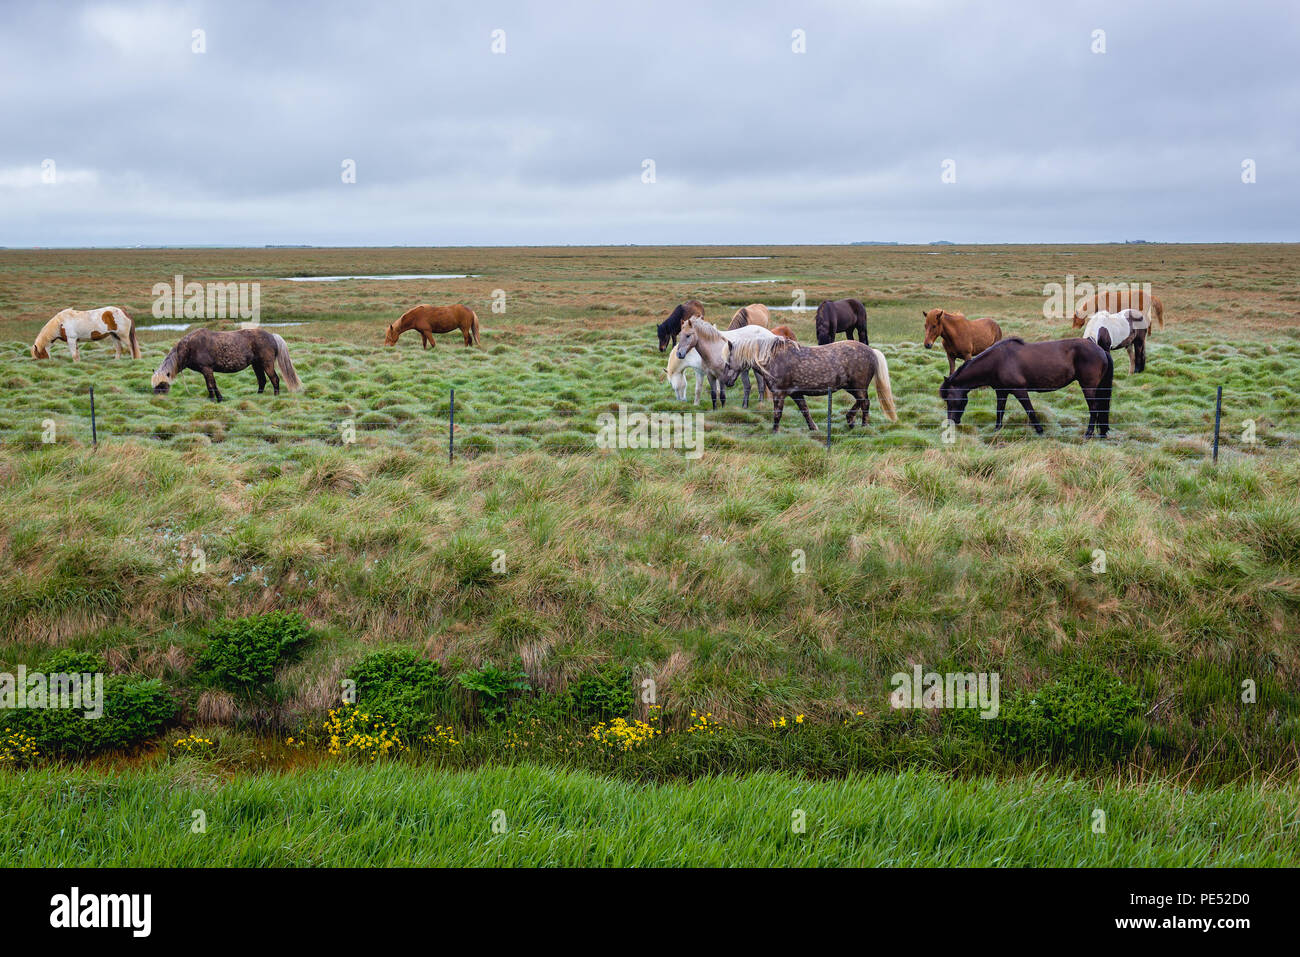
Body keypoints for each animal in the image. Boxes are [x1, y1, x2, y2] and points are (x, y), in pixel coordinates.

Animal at [152, 328, 302, 401]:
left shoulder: (207, 369)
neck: (189, 347)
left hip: (266, 364)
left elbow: (211, 385)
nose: (157, 400)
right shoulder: (205, 371)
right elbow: (211, 385)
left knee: (274, 379)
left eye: (162, 385)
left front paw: (216, 399)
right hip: (256, 365)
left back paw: (276, 397)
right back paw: (257, 396)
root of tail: (272, 336)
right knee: (262, 380)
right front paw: (214, 399)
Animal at [724, 337, 896, 432]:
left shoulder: (779, 394)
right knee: (861, 402)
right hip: (851, 387)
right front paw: (813, 428)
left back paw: (863, 426)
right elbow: (805, 411)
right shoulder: (796, 394)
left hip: (857, 387)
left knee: (865, 402)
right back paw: (850, 420)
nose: (727, 382)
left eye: (728, 361)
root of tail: (872, 351)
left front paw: (774, 431)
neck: (773, 358)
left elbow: (777, 414)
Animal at [939, 336, 1113, 438]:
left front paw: (1040, 431)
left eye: (949, 399)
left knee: (1094, 409)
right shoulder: (1001, 392)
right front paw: (996, 429)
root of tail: (1100, 349)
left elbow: (1030, 410)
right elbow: (999, 410)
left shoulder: (1019, 390)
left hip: (1088, 387)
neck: (997, 361)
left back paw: (1088, 433)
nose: (951, 422)